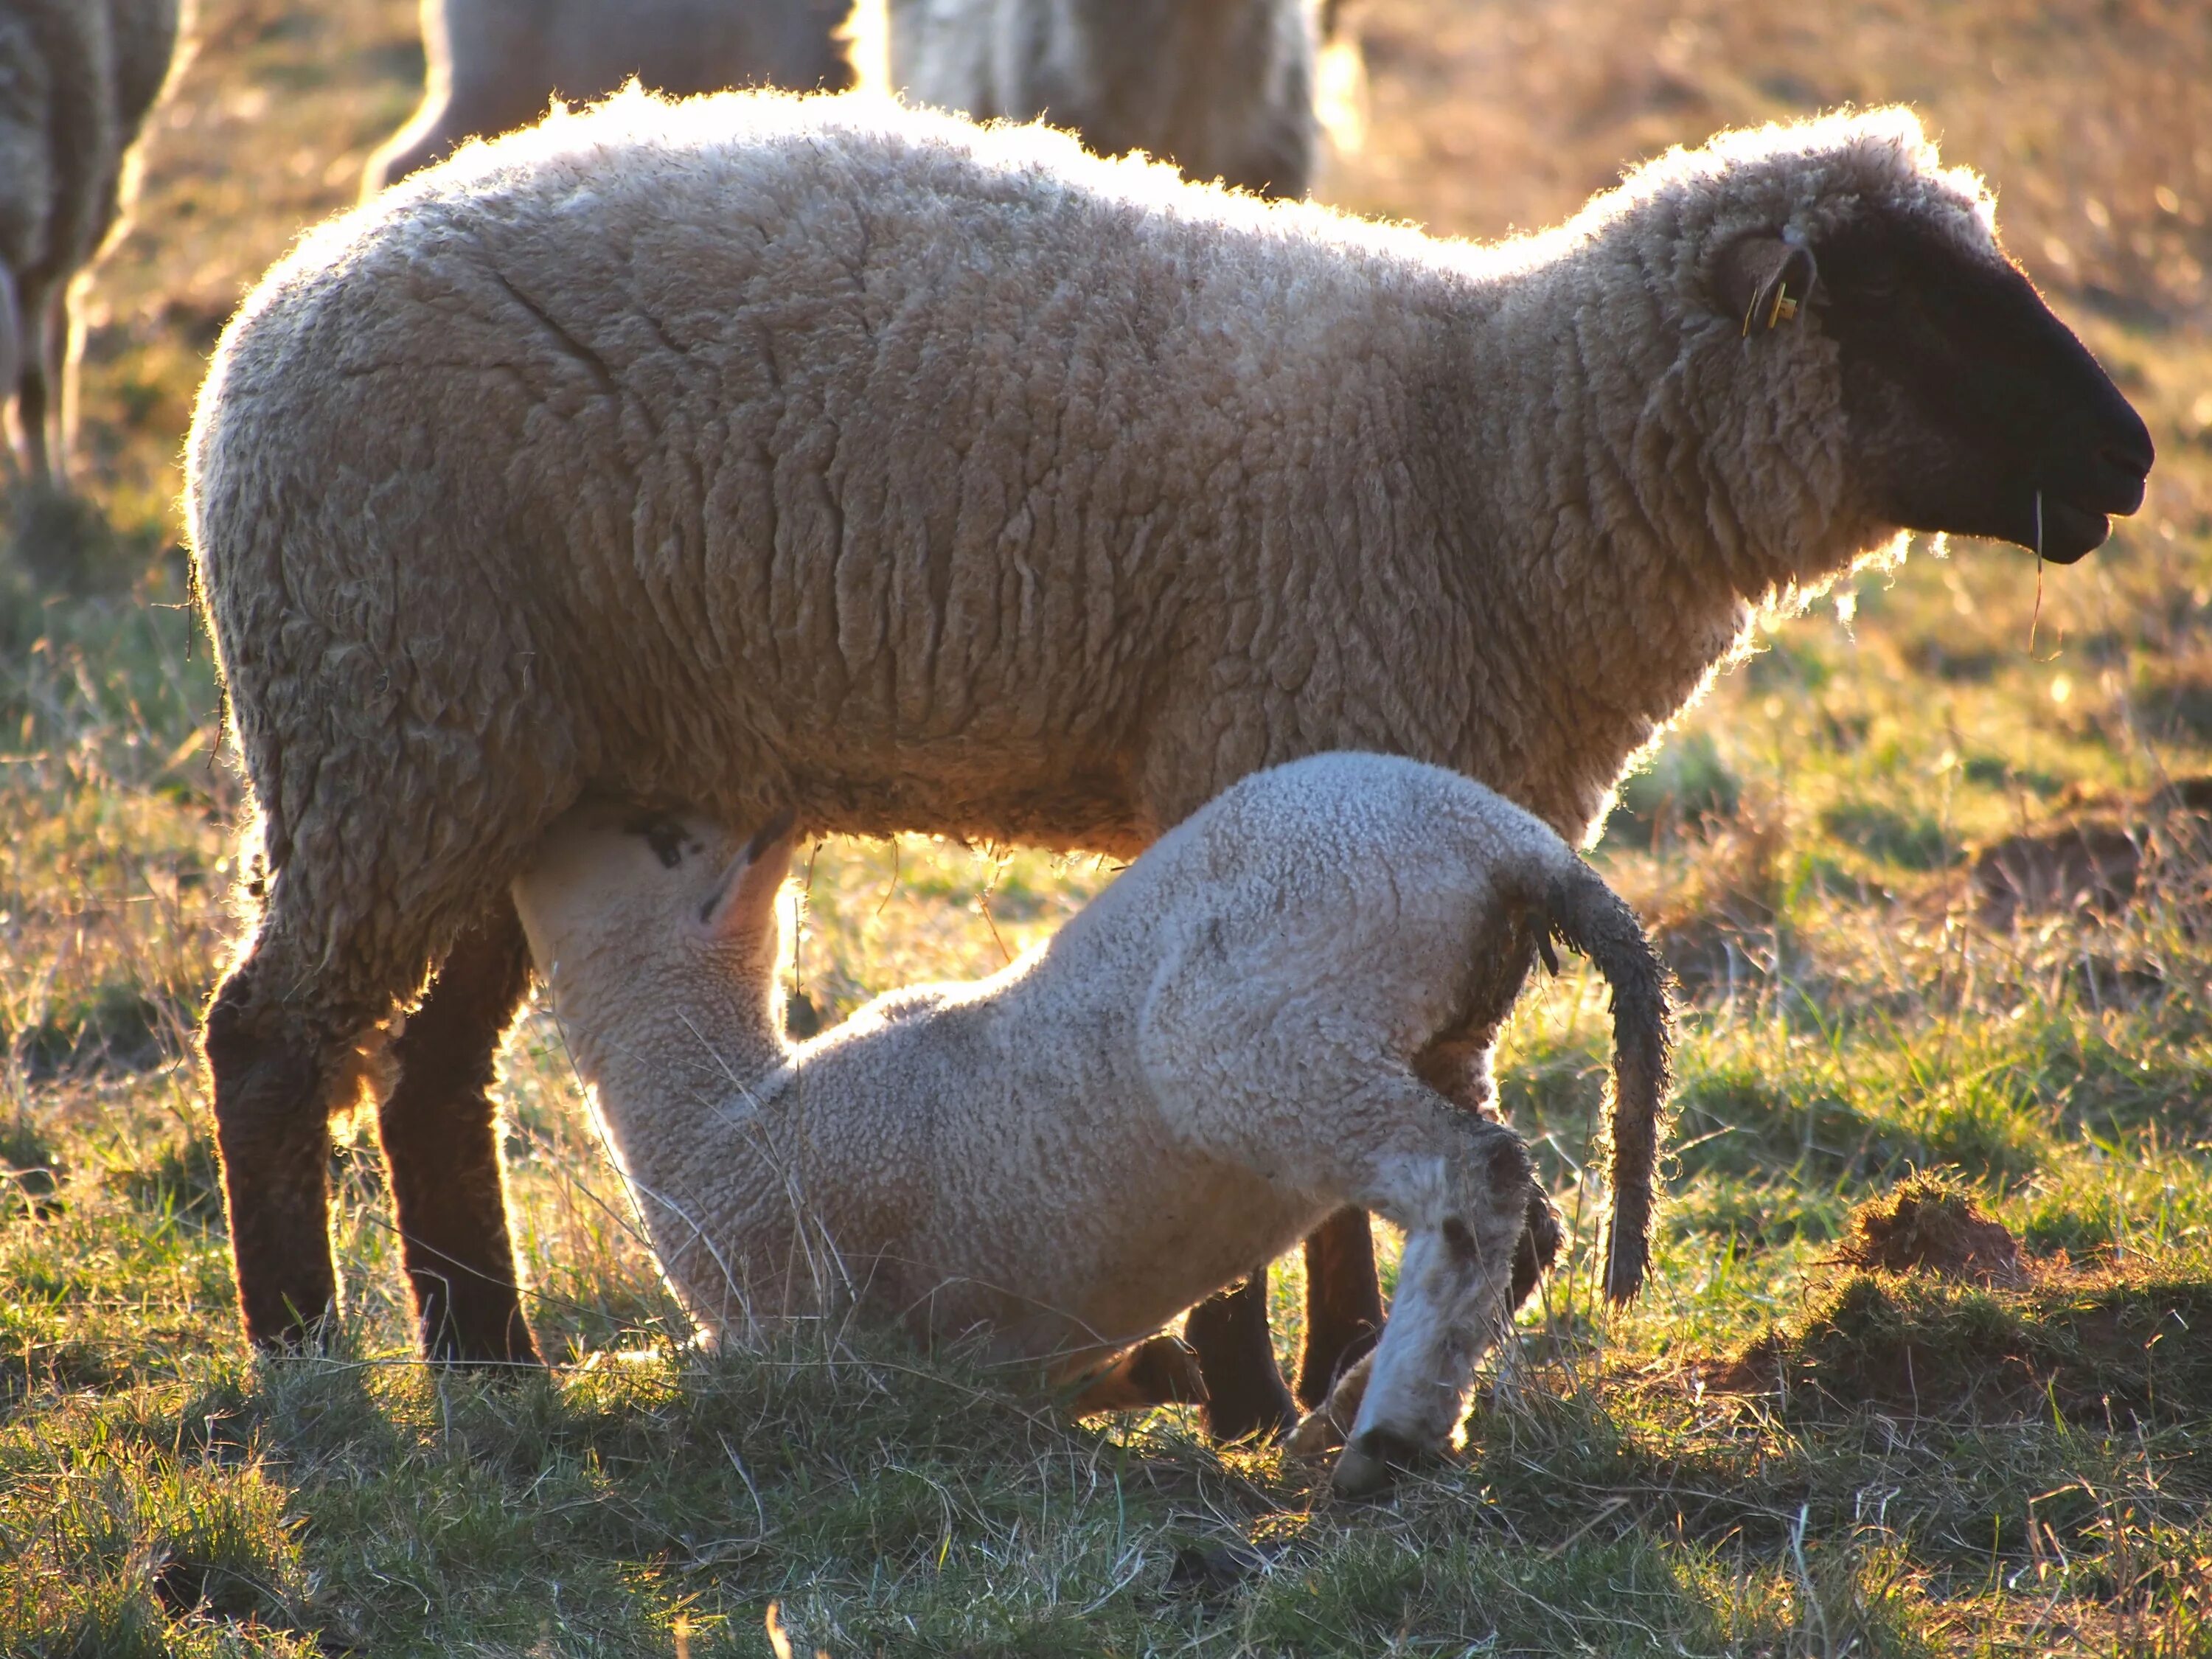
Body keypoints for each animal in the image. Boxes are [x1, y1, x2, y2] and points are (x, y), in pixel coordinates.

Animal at [509, 761, 1663, 1504]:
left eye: (658, 837)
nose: (548, 827)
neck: (721, 1117)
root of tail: (1508, 843)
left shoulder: (816, 1330)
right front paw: (1163, 1375)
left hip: (1268, 1030)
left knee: (1475, 1177)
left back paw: (1387, 1440)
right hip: (1437, 1029)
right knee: (1527, 1224)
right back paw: (1345, 1410)